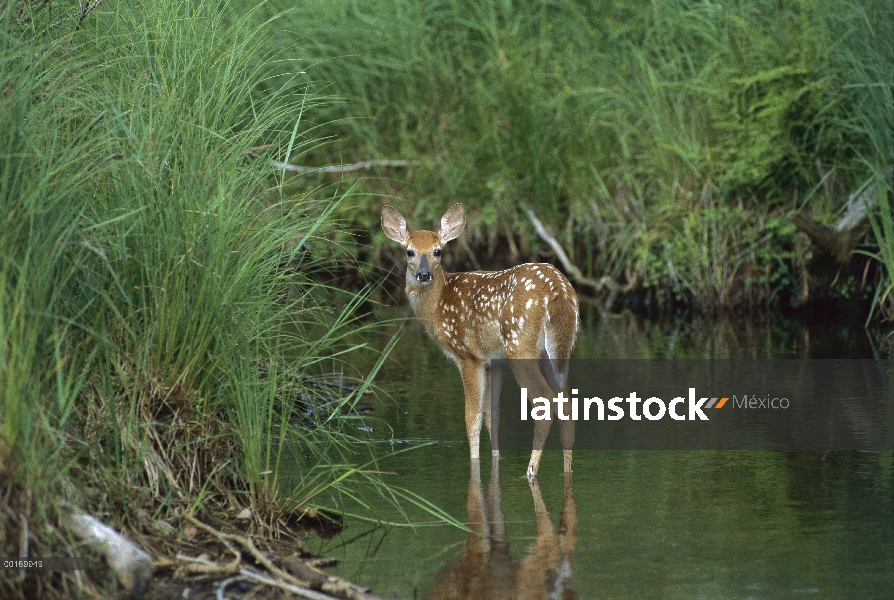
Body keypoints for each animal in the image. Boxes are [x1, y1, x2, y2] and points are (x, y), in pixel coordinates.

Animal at [380, 203, 580, 482]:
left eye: (438, 251)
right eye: (410, 251)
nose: (424, 274)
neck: (439, 304)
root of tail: (558, 291)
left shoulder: (468, 356)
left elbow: (471, 417)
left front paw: (474, 465)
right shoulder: (493, 361)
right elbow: (491, 415)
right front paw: (496, 460)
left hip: (519, 345)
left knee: (546, 401)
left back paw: (529, 471)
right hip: (556, 350)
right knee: (567, 404)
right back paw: (566, 471)